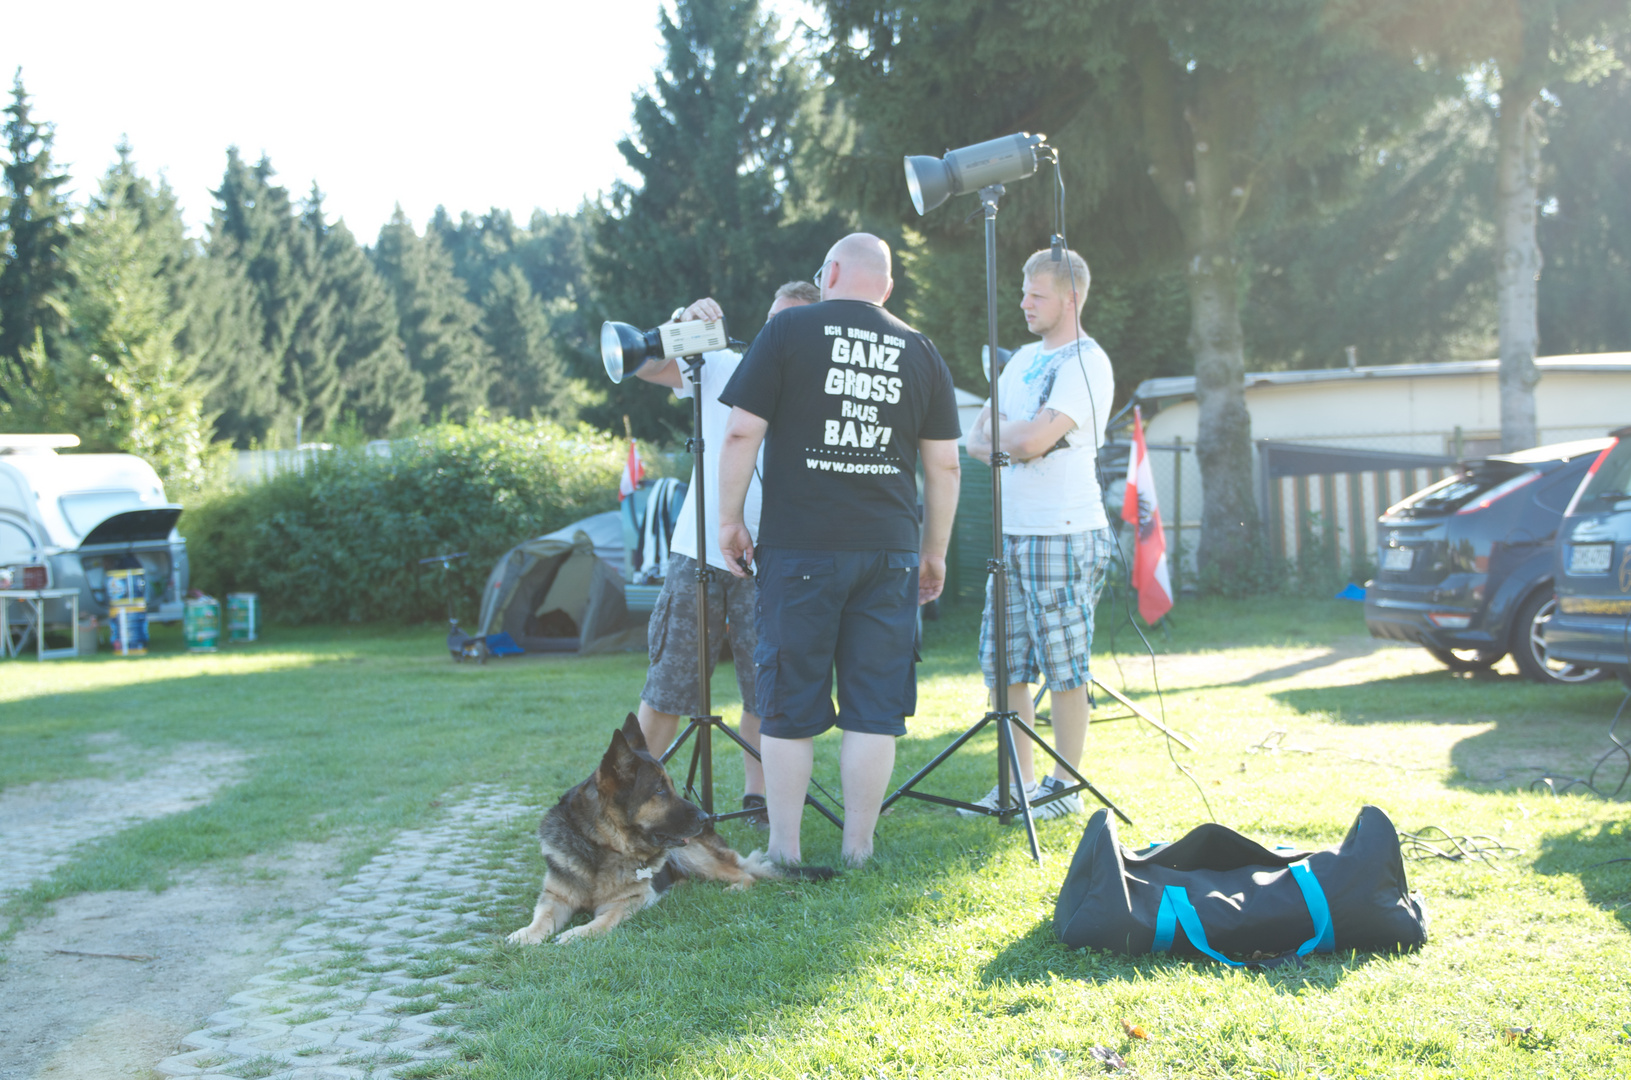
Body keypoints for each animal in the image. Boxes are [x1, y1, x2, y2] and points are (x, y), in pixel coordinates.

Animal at [505, 714, 841, 946]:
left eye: (670, 786)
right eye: (659, 790)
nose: (706, 817)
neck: (602, 847)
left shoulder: (629, 902)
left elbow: (604, 921)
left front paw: (577, 934)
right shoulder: (555, 898)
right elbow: (542, 918)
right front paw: (526, 934)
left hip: (692, 855)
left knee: (745, 875)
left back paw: (732, 888)